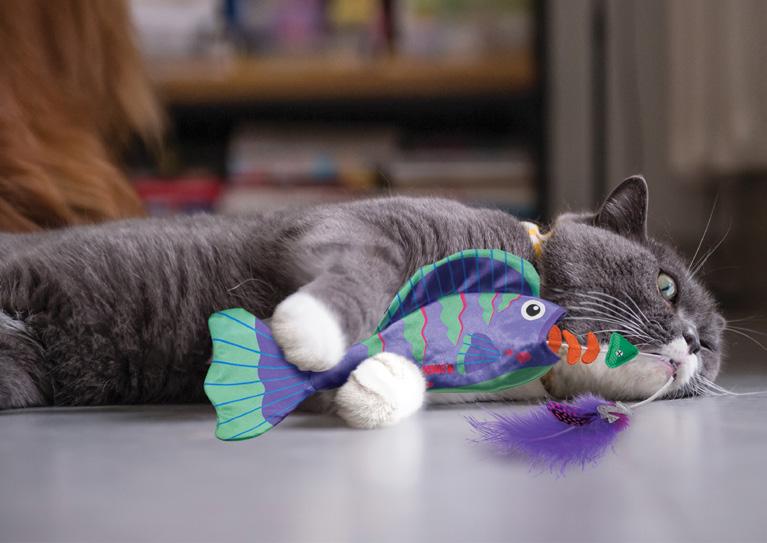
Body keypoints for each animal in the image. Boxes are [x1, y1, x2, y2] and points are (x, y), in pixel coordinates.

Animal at [0, 176, 725, 430]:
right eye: (666, 285)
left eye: (713, 346)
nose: (692, 342)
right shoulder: (361, 226)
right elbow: (362, 265)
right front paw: (309, 330)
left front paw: (373, 389)